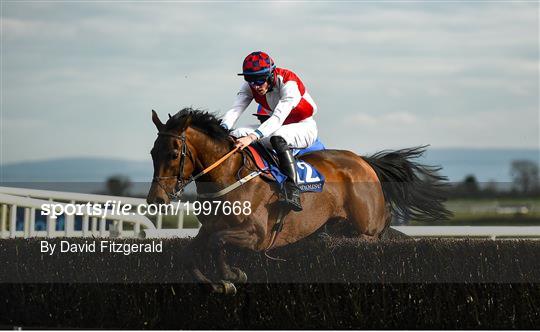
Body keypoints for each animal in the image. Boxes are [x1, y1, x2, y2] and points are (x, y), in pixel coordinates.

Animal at [148, 108, 452, 294]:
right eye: (152, 152)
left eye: (173, 154)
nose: (156, 199)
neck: (229, 175)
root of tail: (363, 161)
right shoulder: (210, 227)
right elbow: (189, 254)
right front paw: (217, 284)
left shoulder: (258, 235)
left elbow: (217, 243)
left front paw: (232, 275)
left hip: (368, 227)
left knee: (374, 236)